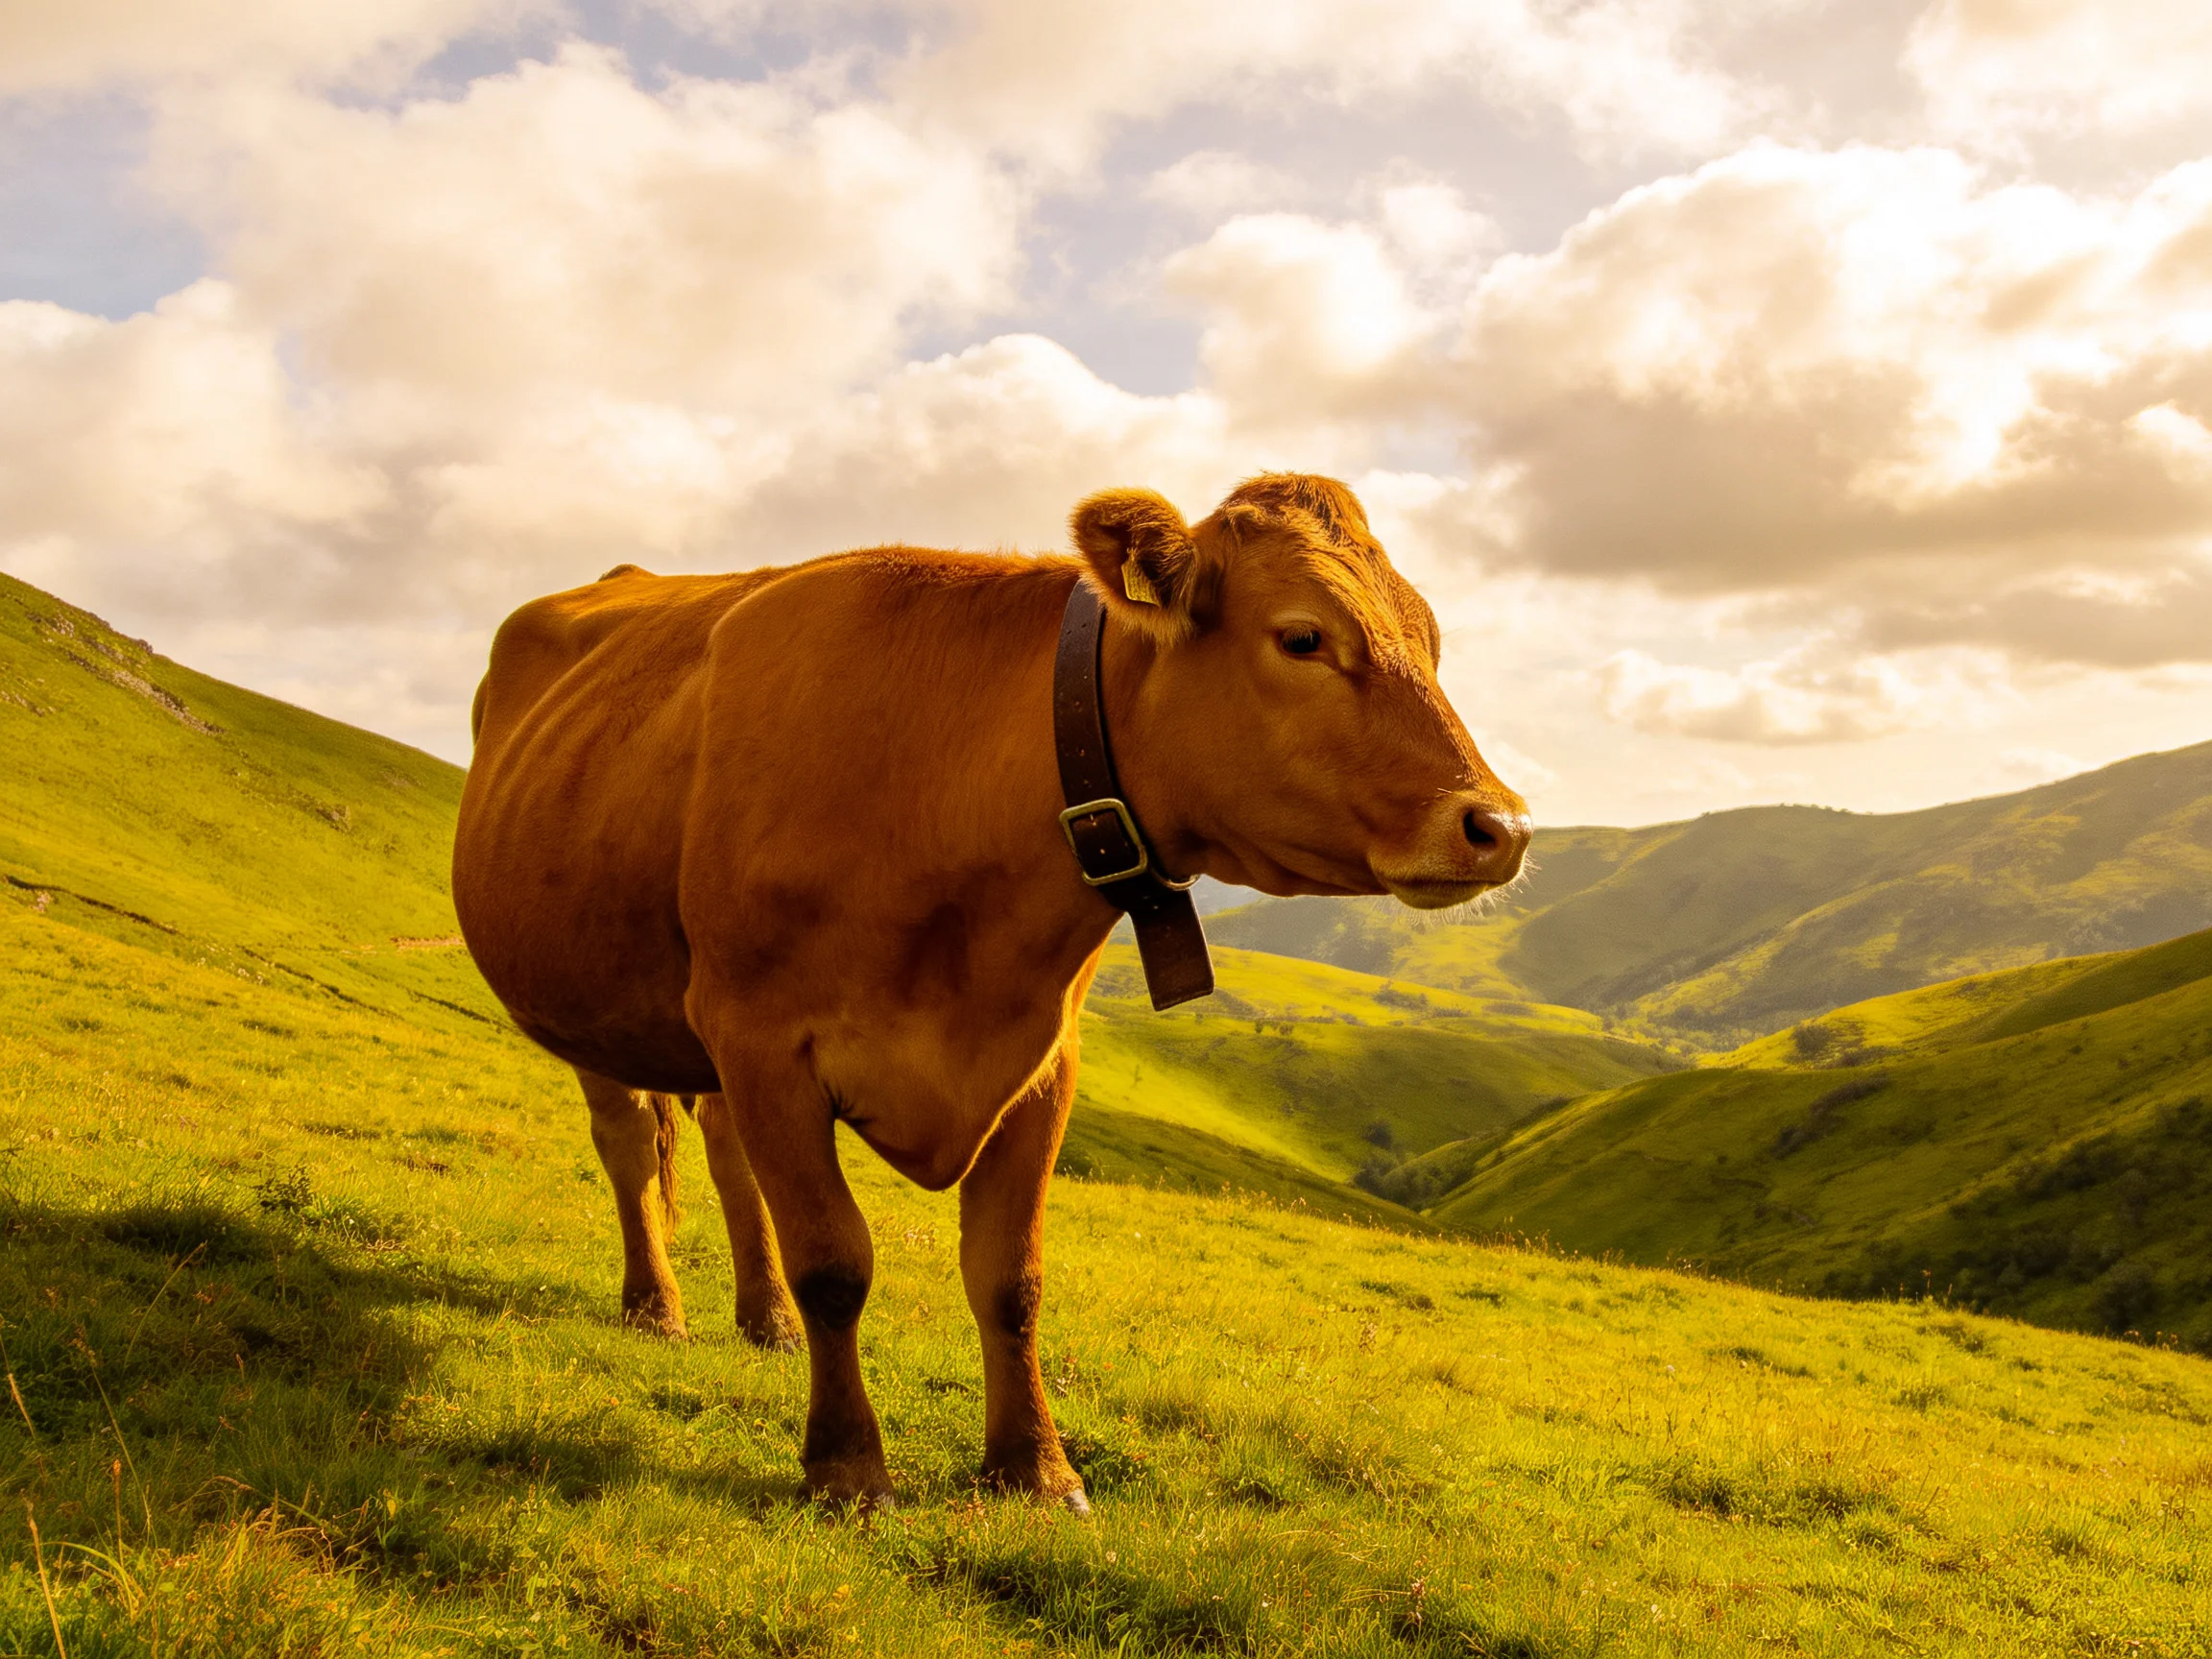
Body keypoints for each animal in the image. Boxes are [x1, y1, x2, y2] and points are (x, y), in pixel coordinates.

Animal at [452, 473, 1529, 1511]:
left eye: (1432, 643)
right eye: (1303, 636)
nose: (1502, 826)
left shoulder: (1039, 1062)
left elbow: (1011, 1278)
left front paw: (1036, 1469)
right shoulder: (763, 1039)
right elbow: (834, 1263)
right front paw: (847, 1468)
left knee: (724, 1158)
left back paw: (765, 1322)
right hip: (597, 1010)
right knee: (633, 1149)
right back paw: (655, 1306)